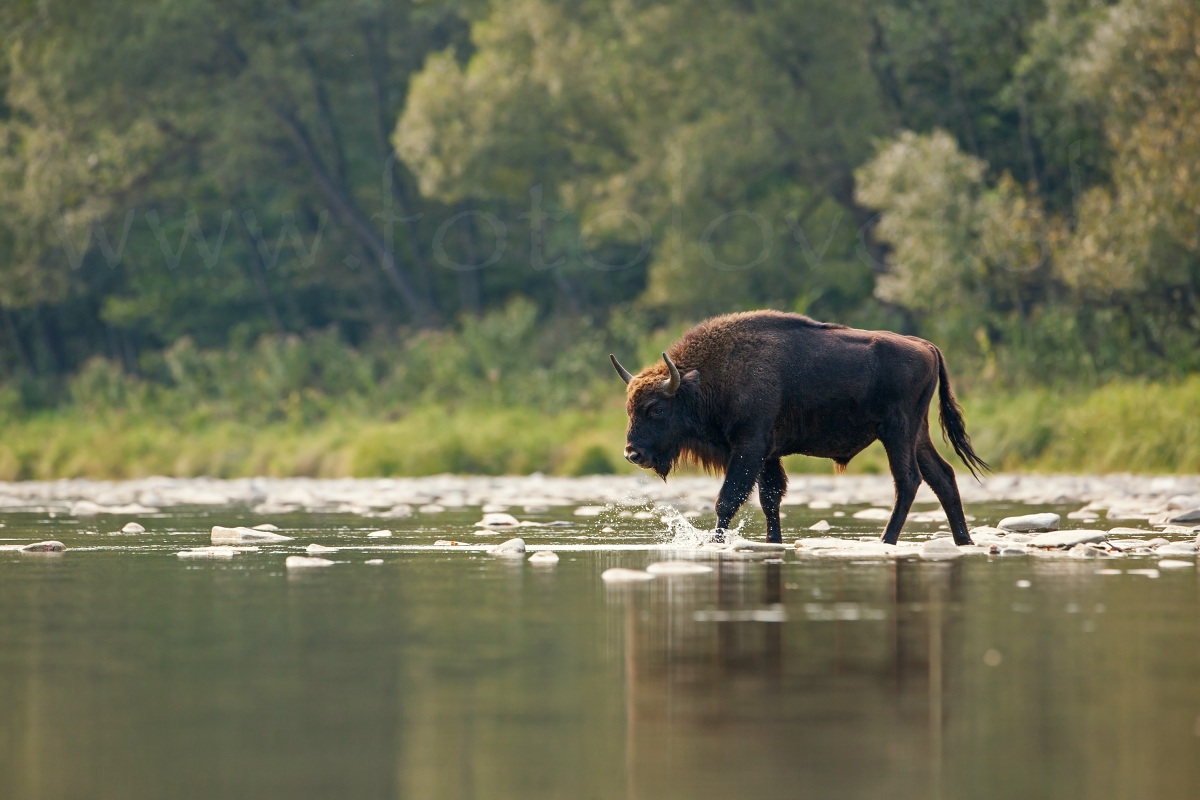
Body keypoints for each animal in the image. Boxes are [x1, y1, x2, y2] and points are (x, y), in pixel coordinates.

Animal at [610, 310, 989, 545]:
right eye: (628, 408)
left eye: (656, 409)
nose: (632, 454)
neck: (703, 380)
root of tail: (927, 347)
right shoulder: (767, 456)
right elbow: (770, 499)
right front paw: (773, 541)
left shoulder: (748, 448)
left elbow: (728, 499)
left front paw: (715, 541)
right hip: (918, 435)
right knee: (942, 476)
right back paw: (963, 540)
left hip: (898, 432)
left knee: (908, 480)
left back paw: (886, 539)